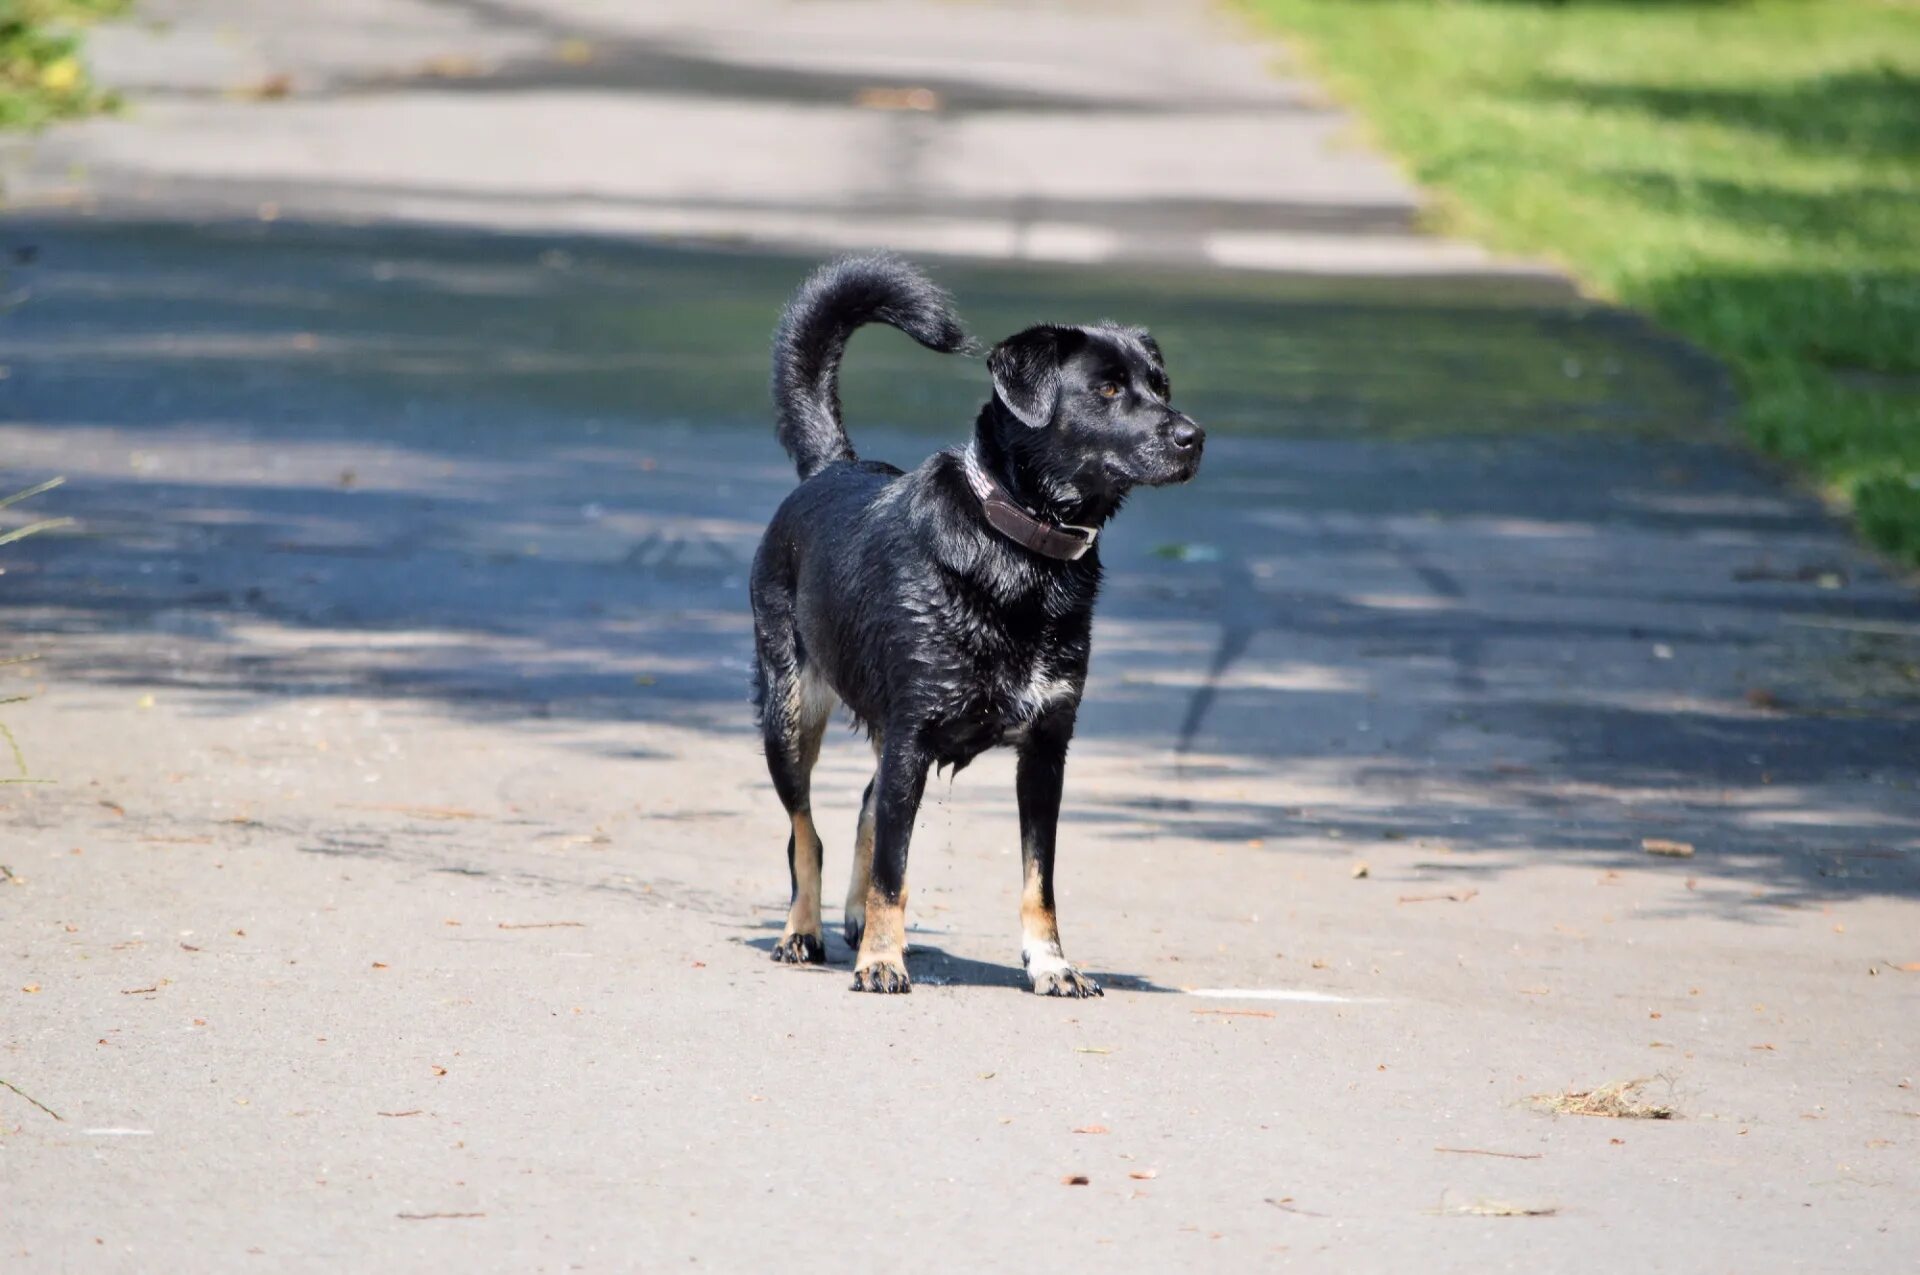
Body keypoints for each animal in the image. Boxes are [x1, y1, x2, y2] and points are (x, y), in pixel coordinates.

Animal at [748, 257, 1198, 998]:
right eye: (1106, 388)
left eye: (1159, 385)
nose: (1194, 437)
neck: (1022, 555)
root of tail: (832, 465)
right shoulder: (912, 739)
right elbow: (893, 870)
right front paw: (881, 960)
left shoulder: (1045, 752)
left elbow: (1039, 880)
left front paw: (1051, 964)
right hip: (788, 714)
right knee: (804, 830)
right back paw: (803, 931)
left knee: (867, 805)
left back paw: (851, 920)